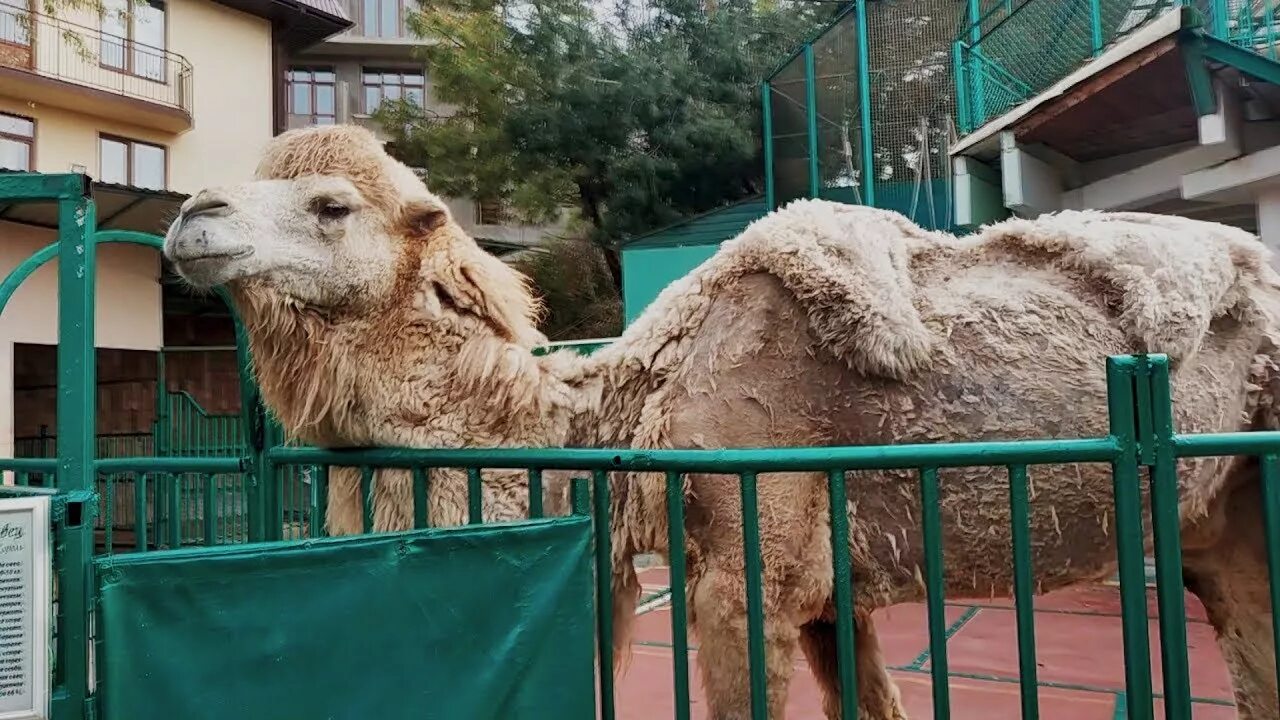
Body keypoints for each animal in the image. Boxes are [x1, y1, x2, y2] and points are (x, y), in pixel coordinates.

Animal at [162, 124, 1280, 717]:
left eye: (331, 206)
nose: (190, 217)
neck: (617, 416)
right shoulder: (833, 593)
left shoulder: (750, 565)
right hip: (1219, 517)